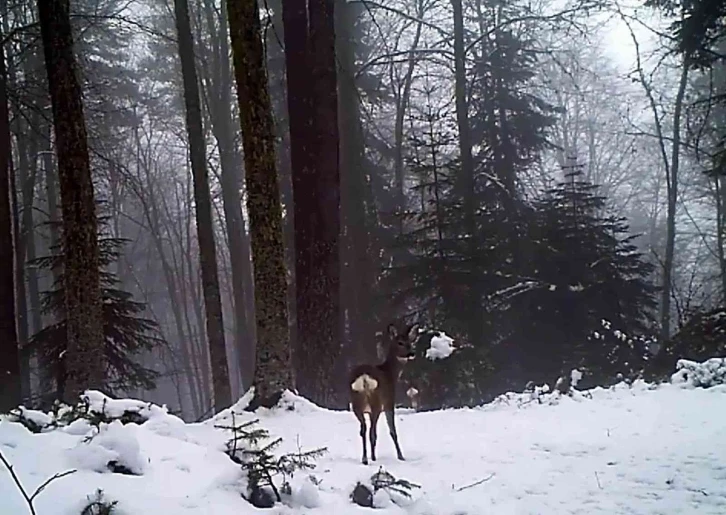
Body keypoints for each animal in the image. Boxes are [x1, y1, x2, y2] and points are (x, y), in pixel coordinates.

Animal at [352, 320, 420, 466]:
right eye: (400, 342)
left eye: (410, 342)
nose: (412, 353)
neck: (390, 374)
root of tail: (364, 377)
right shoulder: (389, 401)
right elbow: (393, 431)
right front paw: (401, 456)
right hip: (377, 403)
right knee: (371, 432)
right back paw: (372, 458)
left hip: (356, 402)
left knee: (363, 429)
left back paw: (365, 458)